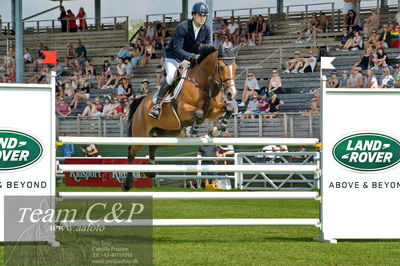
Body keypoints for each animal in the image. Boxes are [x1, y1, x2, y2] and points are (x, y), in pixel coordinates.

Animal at [122, 43, 241, 190]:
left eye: (235, 67)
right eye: (221, 67)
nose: (231, 94)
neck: (203, 82)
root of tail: (141, 101)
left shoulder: (212, 111)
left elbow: (229, 108)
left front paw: (216, 130)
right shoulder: (183, 109)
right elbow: (199, 113)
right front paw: (194, 130)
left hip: (168, 136)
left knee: (153, 146)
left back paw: (151, 171)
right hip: (141, 135)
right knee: (131, 152)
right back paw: (127, 183)